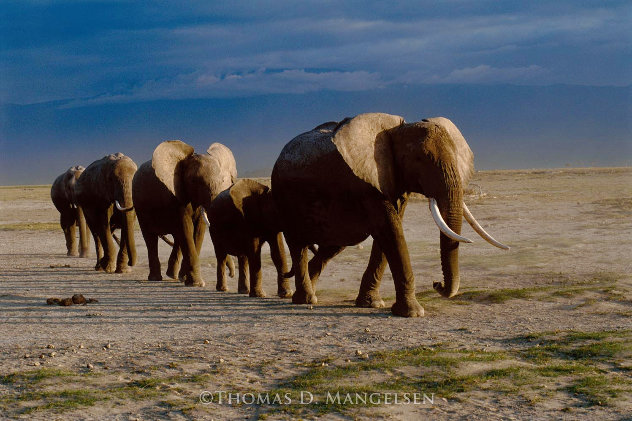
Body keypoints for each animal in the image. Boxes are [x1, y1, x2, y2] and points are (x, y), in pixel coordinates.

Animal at [132, 140, 236, 286]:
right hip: (139, 205)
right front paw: (197, 283)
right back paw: (156, 278)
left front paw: (187, 279)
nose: (231, 274)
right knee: (150, 237)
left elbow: (198, 231)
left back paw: (174, 276)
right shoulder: (176, 193)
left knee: (177, 237)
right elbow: (186, 227)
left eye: (222, 181)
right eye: (193, 181)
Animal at [272, 113, 508, 316]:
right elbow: (390, 229)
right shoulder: (367, 182)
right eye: (420, 159)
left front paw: (372, 304)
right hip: (284, 197)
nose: (436, 283)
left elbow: (389, 230)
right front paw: (412, 313)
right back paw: (305, 299)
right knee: (298, 245)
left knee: (335, 244)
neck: (396, 130)